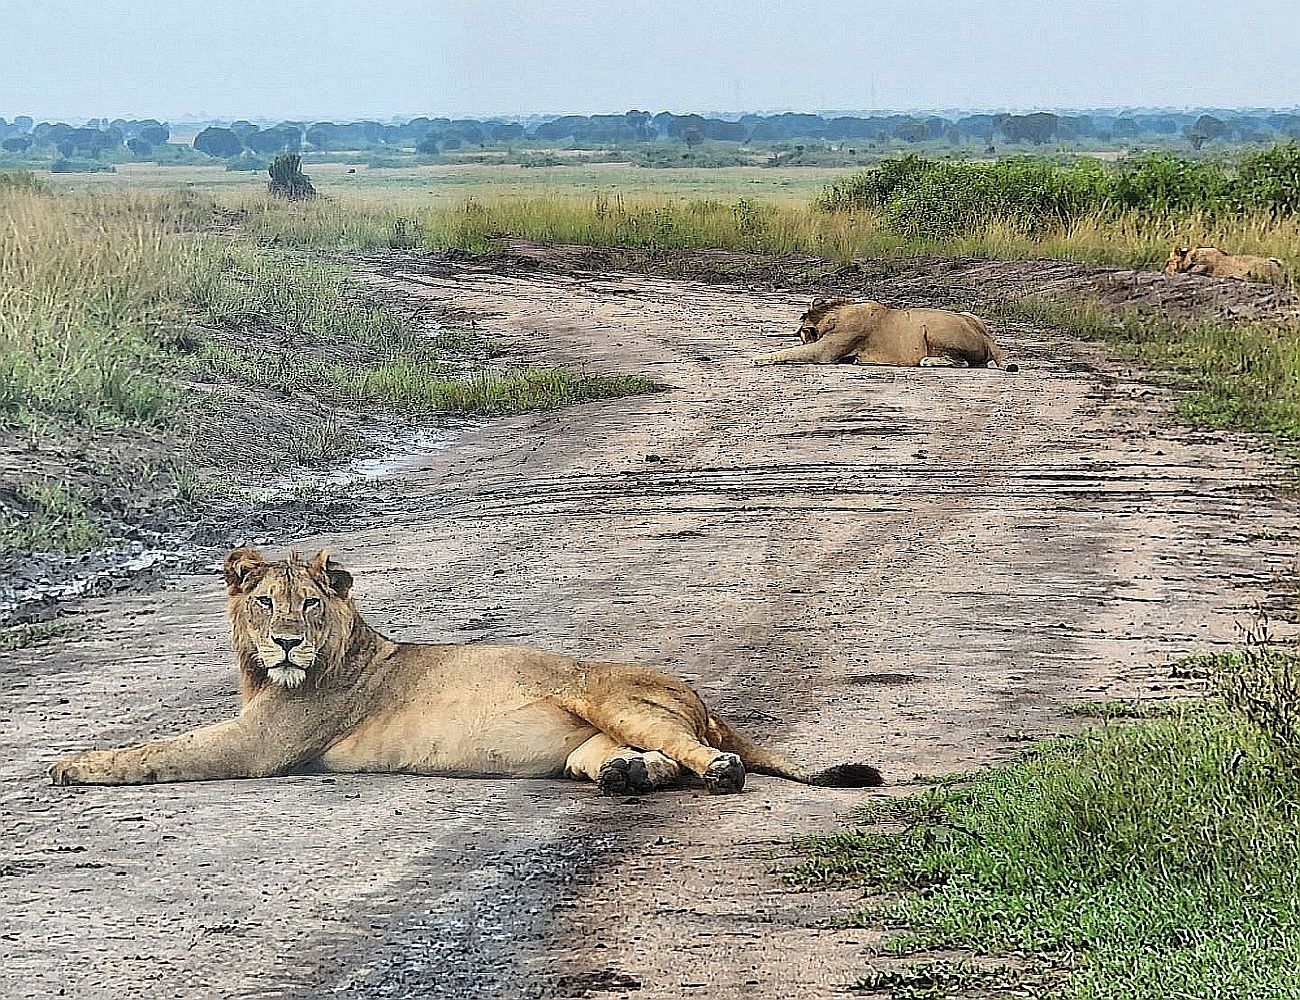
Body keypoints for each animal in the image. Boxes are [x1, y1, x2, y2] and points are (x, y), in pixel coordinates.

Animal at [50, 546, 883, 795]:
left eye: (310, 605)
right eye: (263, 603)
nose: (286, 643)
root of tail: (699, 692)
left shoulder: (260, 745)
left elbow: (162, 750)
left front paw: (73, 763)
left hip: (613, 700)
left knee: (705, 755)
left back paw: (715, 772)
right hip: (586, 746)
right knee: (651, 761)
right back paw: (628, 779)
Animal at [759, 299, 1019, 371]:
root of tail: (987, 337)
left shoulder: (826, 351)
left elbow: (791, 351)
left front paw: (759, 359)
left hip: (935, 328)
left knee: (963, 362)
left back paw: (928, 361)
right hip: (969, 314)